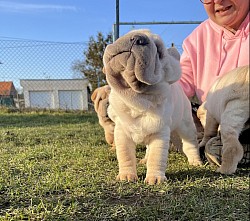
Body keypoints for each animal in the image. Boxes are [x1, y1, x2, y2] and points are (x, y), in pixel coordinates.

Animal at [102, 29, 202, 185]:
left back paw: (196, 161)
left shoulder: (159, 134)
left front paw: (155, 178)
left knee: (190, 144)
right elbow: (125, 156)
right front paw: (126, 175)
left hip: (186, 126)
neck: (139, 100)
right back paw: (144, 160)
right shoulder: (122, 134)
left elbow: (156, 157)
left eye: (159, 51)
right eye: (128, 34)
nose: (137, 38)